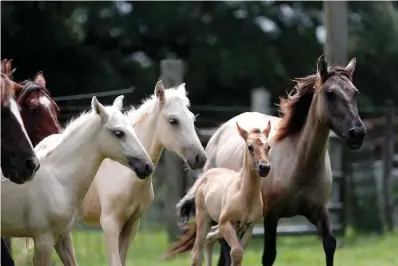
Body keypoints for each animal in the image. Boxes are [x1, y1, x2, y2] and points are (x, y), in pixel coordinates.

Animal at [68, 80, 207, 266]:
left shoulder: (131, 225)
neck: (125, 172)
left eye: (192, 118)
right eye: (173, 120)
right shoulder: (110, 224)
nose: (200, 158)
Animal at [176, 122, 272, 266]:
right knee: (197, 253)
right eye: (250, 147)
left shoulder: (249, 227)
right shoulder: (225, 223)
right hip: (203, 218)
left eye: (268, 147)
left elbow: (238, 254)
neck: (244, 195)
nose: (264, 168)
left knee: (209, 237)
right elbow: (236, 253)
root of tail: (204, 176)